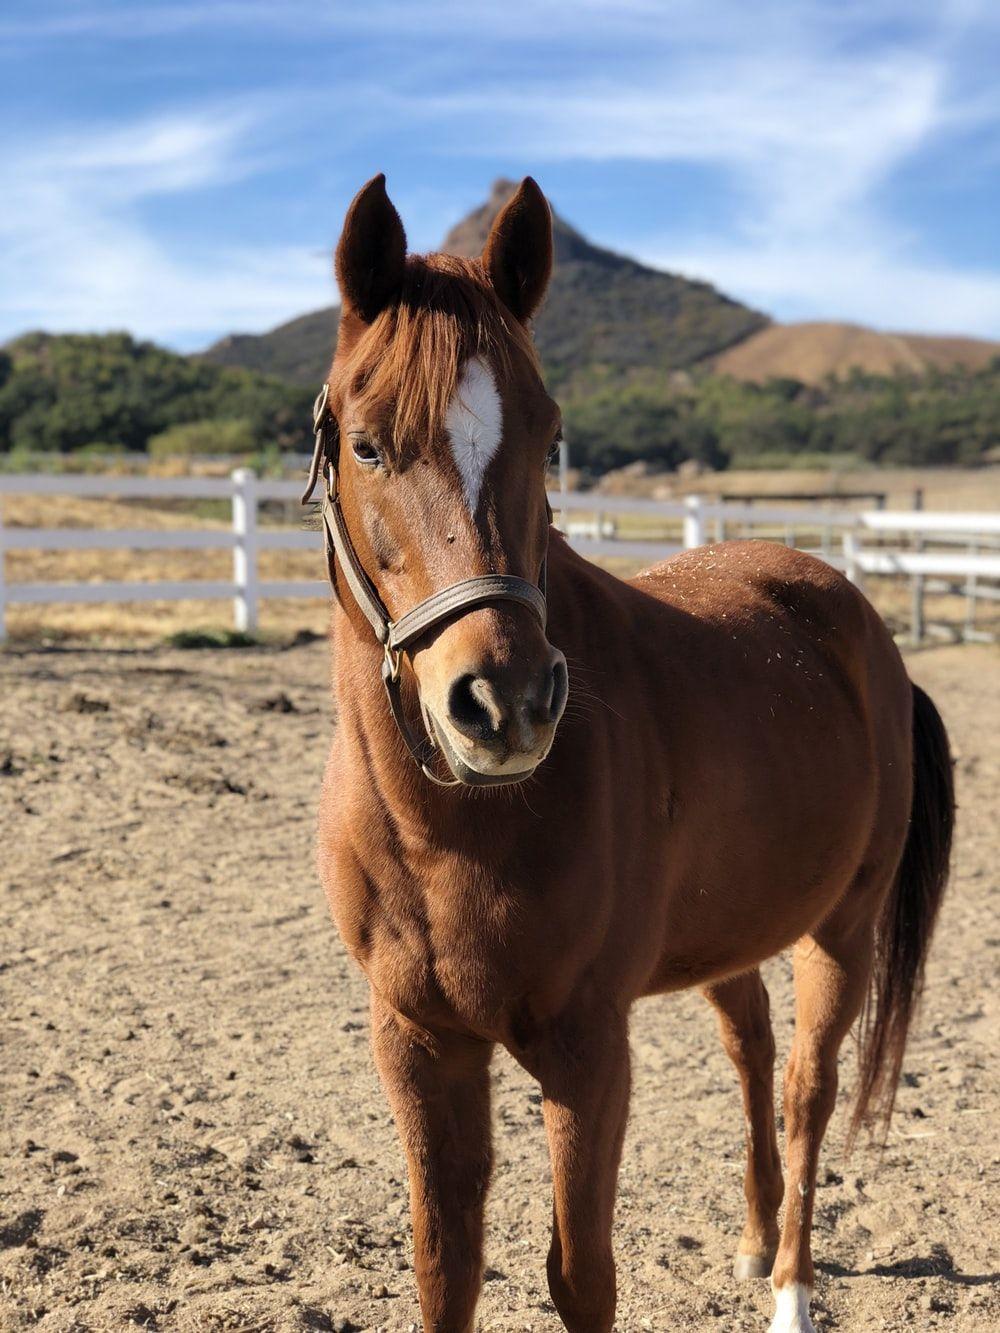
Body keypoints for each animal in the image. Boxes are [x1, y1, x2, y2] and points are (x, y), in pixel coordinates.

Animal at [310, 175, 954, 1333]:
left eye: (550, 434)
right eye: (368, 444)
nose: (505, 704)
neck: (451, 834)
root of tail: (861, 628)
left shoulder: (586, 1046)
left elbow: (581, 1275)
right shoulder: (417, 1042)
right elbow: (444, 1266)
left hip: (840, 931)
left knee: (806, 1091)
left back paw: (791, 1288)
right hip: (736, 926)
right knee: (751, 1047)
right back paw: (752, 1241)